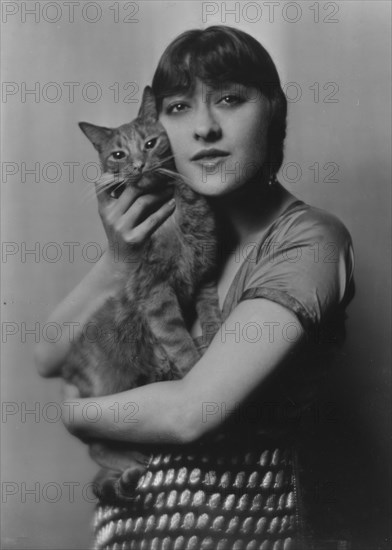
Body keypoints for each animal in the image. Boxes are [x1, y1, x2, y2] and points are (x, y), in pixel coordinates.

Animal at [60, 87, 220, 504]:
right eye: (118, 154)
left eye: (150, 143)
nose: (137, 163)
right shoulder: (155, 291)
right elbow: (179, 342)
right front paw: (194, 367)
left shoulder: (205, 270)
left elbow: (210, 307)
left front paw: (215, 331)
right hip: (107, 395)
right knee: (97, 445)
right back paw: (131, 465)